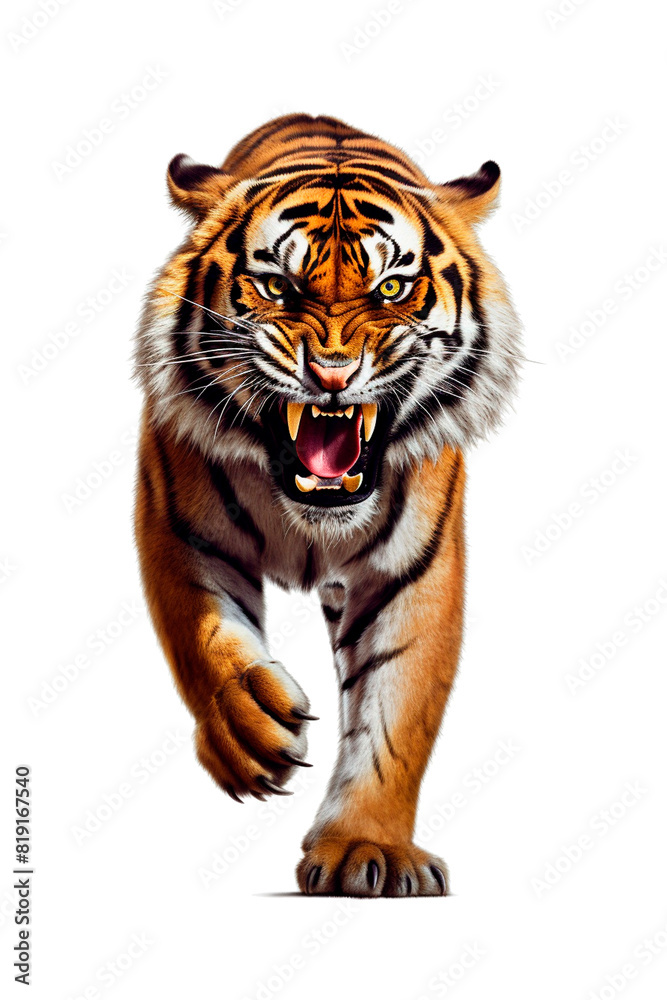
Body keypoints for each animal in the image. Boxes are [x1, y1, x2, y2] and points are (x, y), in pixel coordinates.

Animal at [134, 113, 522, 897]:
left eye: (393, 286)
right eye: (276, 286)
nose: (333, 374)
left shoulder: (413, 573)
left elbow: (398, 710)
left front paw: (366, 848)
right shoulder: (180, 530)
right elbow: (204, 640)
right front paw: (247, 726)